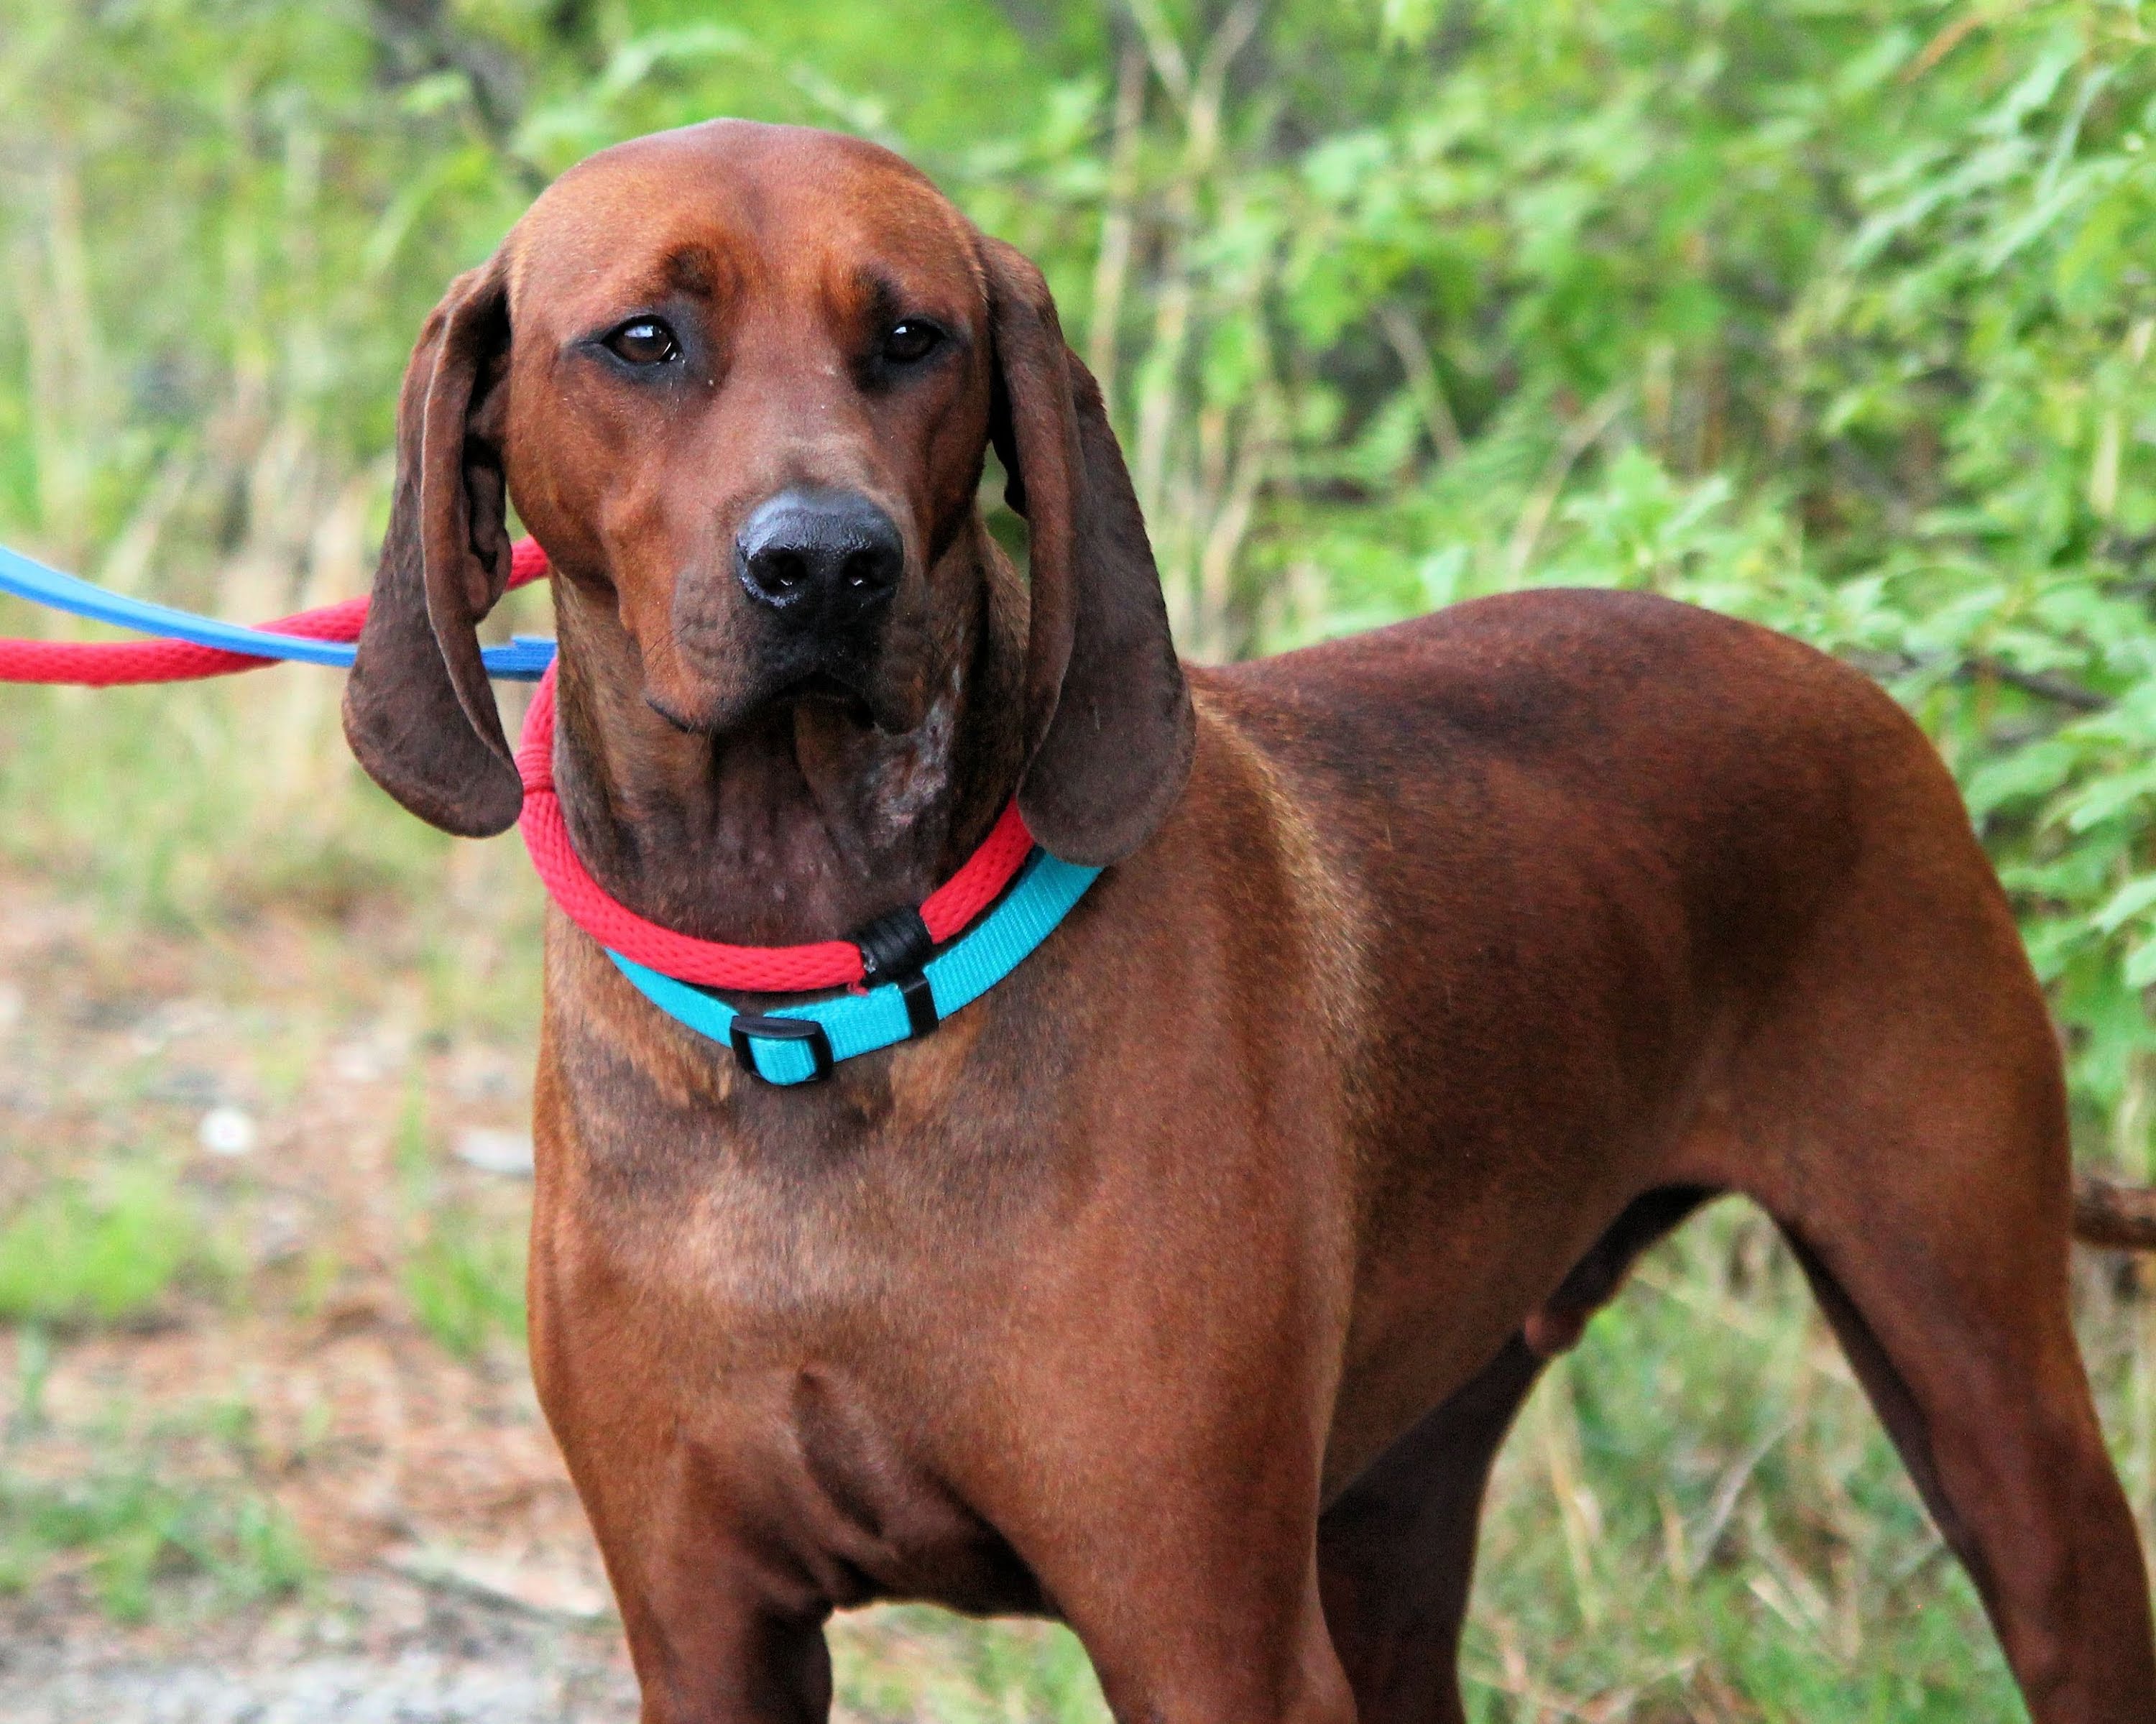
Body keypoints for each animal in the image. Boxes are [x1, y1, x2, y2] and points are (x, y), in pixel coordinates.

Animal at [341, 124, 2156, 1724]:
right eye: (644, 340)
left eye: (913, 336)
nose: (831, 564)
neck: (816, 1008)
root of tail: (1857, 688)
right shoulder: (708, 1624)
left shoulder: (1203, 1629)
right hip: (1396, 1501)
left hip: (1986, 1399)